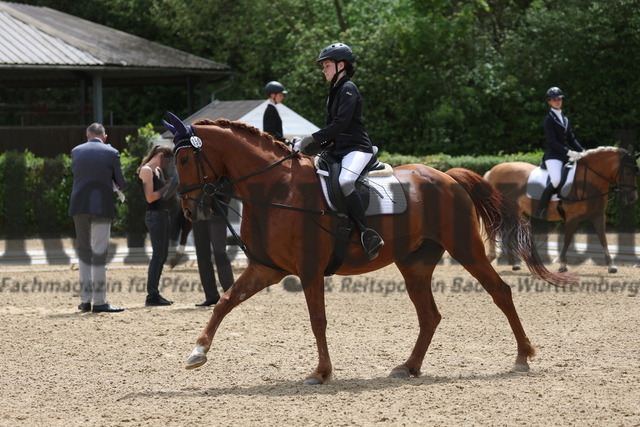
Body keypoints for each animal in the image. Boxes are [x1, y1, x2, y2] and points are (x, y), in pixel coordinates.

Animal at [162, 113, 572, 384]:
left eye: (182, 158)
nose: (188, 210)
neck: (276, 188)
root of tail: (447, 176)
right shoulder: (267, 268)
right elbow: (225, 301)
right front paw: (197, 353)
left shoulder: (308, 270)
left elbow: (317, 320)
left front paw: (321, 372)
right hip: (415, 264)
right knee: (430, 315)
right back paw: (408, 367)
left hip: (465, 248)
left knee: (500, 291)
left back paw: (522, 357)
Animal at [484, 147, 636, 274]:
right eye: (628, 172)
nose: (632, 198)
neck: (589, 181)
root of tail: (492, 171)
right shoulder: (572, 218)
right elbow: (567, 239)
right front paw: (562, 265)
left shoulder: (598, 216)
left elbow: (603, 239)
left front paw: (611, 266)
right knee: (495, 230)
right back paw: (495, 258)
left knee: (506, 232)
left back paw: (514, 264)